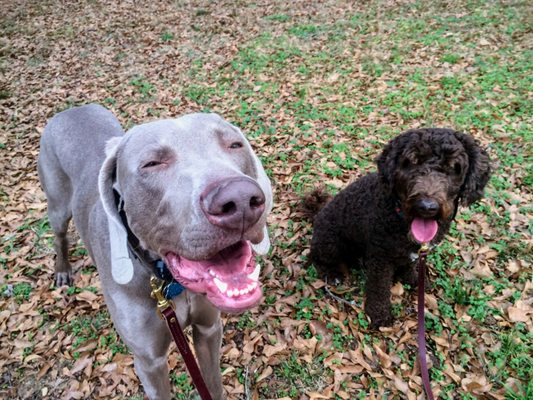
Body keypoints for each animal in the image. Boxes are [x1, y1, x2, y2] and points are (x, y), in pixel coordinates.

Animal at [38, 104, 270, 400]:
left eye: (235, 145)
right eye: (152, 163)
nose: (240, 201)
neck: (168, 282)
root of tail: (73, 108)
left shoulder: (208, 330)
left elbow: (213, 384)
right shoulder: (149, 362)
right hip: (56, 203)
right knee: (59, 234)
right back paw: (62, 271)